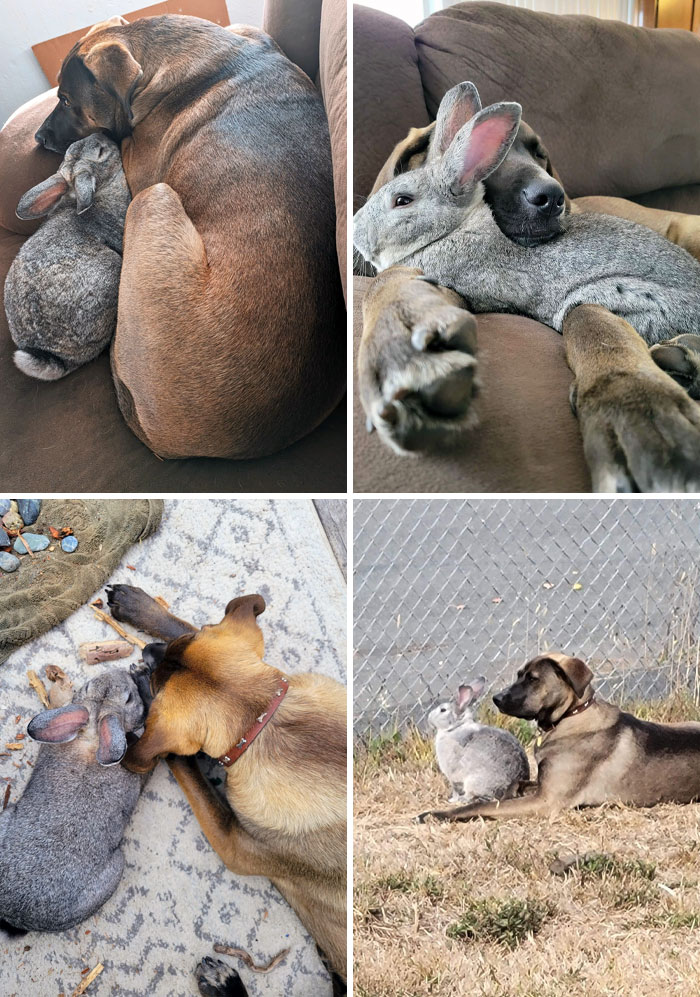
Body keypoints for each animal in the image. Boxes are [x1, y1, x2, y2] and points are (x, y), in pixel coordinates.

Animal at [0, 666, 147, 935]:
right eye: (129, 698)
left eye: (88, 686)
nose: (123, 671)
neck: (92, 739)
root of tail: (16, 914)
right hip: (115, 870)